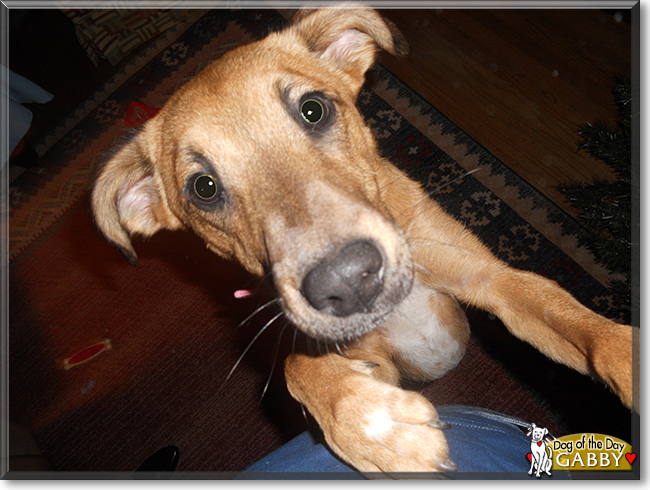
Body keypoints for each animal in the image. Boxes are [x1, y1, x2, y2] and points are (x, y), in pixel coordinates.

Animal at [91, 4, 632, 474]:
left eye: (313, 109)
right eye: (203, 188)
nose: (347, 281)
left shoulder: (490, 279)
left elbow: (585, 328)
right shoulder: (366, 358)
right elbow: (298, 367)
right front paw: (376, 427)